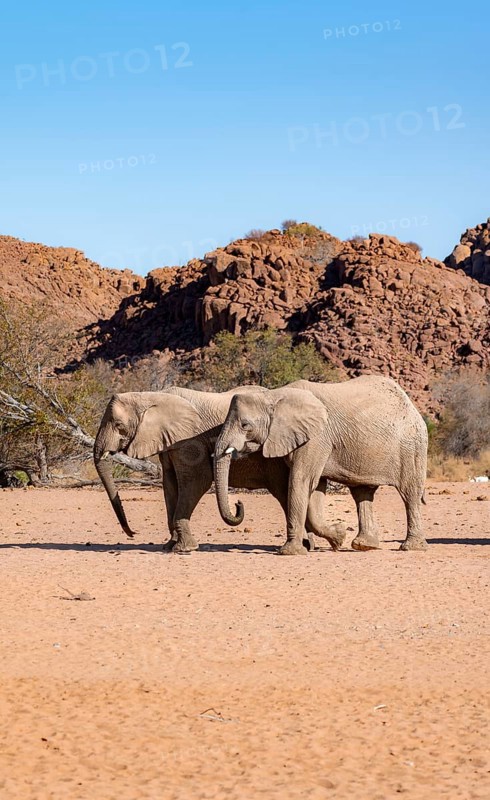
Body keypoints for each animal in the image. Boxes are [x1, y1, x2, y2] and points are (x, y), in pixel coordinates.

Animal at [93, 386, 346, 554]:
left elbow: (197, 480)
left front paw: (184, 548)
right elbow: (170, 485)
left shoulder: (188, 440)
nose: (132, 533)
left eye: (118, 425)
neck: (151, 395)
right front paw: (170, 545)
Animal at [213, 376, 428, 554]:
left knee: (409, 493)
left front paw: (290, 552)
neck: (274, 394)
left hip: (411, 447)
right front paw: (338, 537)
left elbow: (301, 480)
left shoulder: (317, 438)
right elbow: (315, 488)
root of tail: (411, 406)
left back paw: (411, 547)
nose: (238, 503)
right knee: (362, 493)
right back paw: (365, 546)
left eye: (245, 425)